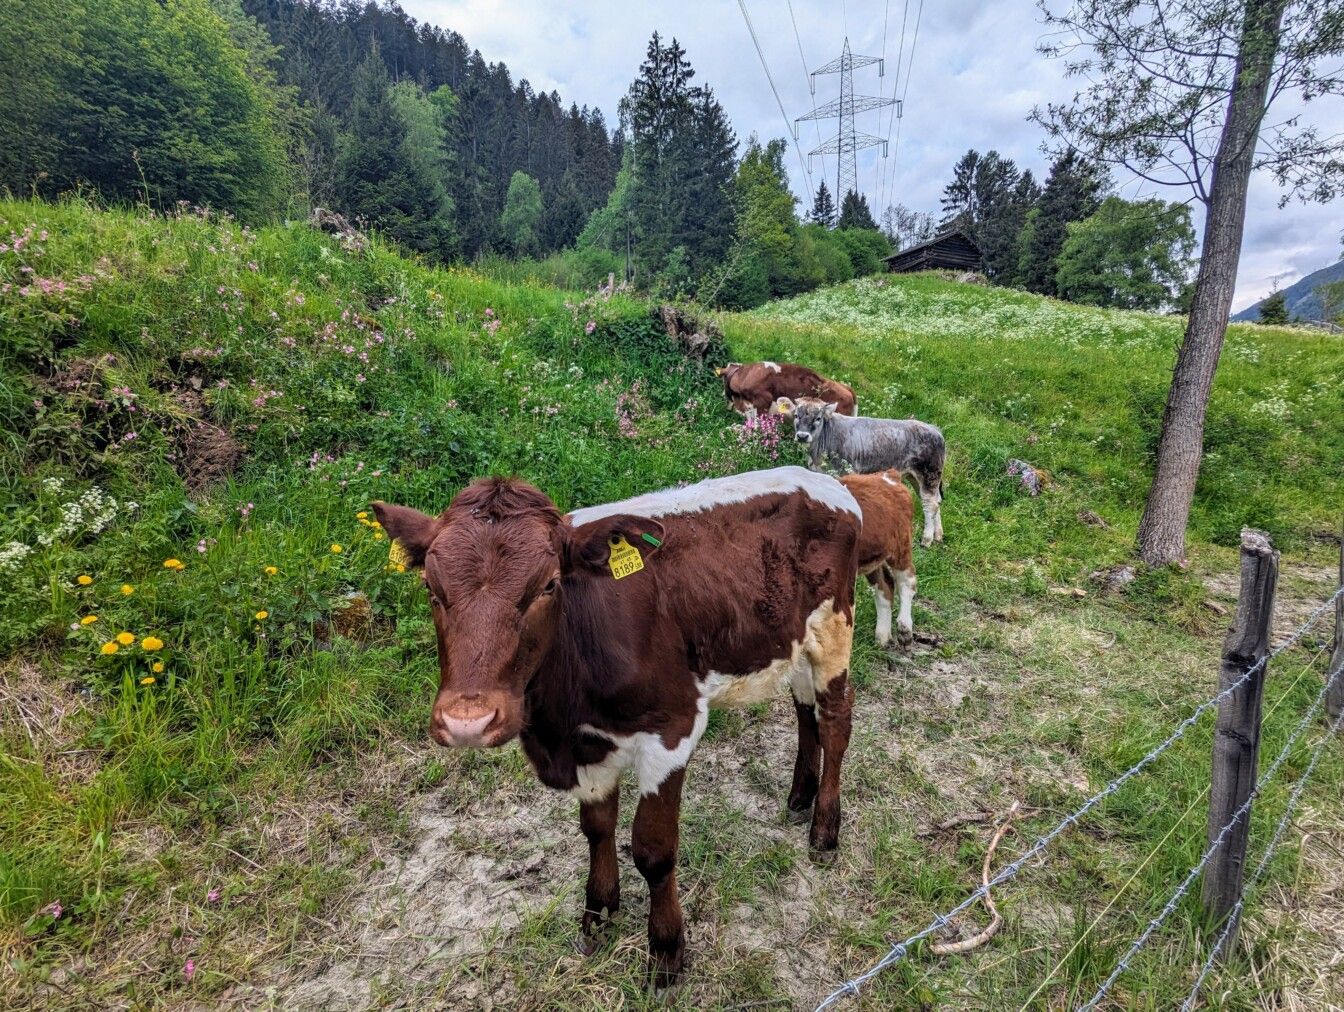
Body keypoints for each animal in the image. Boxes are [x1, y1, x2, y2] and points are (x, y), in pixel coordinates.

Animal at [373, 467, 860, 989]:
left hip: (834, 629)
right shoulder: (586, 746)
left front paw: (666, 952)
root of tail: (821, 476)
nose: (469, 722)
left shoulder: (673, 729)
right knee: (804, 709)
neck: (558, 724)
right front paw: (600, 914)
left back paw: (824, 829)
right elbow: (596, 828)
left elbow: (653, 849)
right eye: (431, 588)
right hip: (791, 642)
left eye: (548, 585)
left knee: (835, 719)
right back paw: (799, 795)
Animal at [779, 397, 946, 548]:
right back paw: (938, 535)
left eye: (818, 418)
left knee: (930, 504)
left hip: (929, 475)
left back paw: (927, 539)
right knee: (936, 501)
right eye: (796, 415)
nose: (802, 436)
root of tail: (935, 430)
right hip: (917, 477)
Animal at [838, 467, 913, 647]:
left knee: (907, 580)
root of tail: (888, 476)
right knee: (885, 585)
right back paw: (883, 637)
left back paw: (905, 627)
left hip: (900, 545)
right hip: (871, 559)